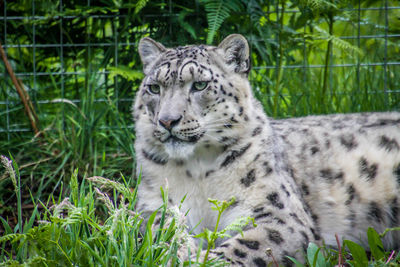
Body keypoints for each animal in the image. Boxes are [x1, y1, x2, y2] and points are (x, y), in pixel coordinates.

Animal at [134, 34, 400, 266]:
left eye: (200, 85)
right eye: (154, 88)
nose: (167, 121)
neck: (197, 169)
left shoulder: (278, 211)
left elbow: (245, 245)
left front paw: (201, 260)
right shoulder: (150, 205)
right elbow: (161, 230)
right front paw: (179, 252)